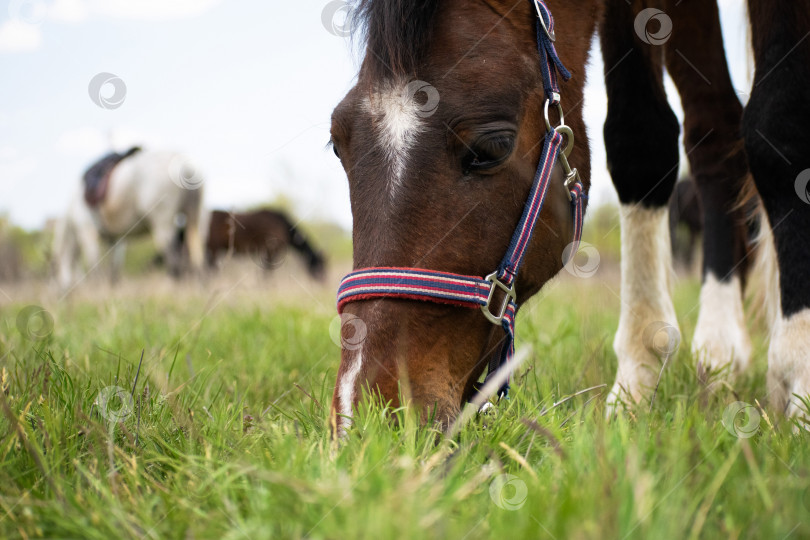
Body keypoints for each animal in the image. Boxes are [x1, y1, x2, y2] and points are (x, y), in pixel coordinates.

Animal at [326, 0, 808, 430]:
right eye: (338, 145)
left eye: (491, 148)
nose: (366, 416)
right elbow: (640, 138)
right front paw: (636, 383)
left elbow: (780, 125)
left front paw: (800, 385)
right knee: (716, 130)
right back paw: (721, 356)